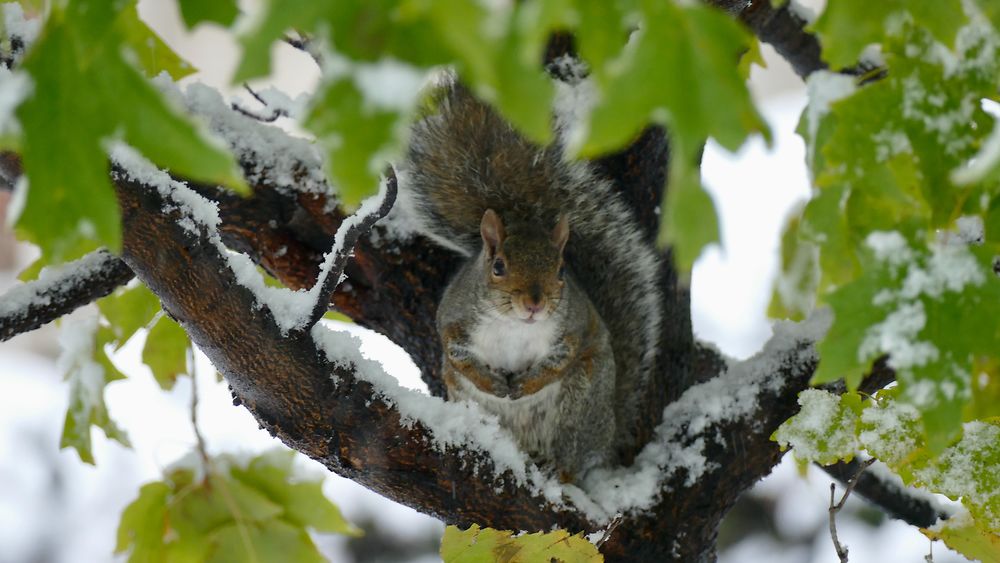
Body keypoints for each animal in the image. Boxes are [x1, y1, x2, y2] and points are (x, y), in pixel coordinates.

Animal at [398, 77, 664, 478]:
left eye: (561, 270)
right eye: (498, 267)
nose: (534, 304)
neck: (513, 326)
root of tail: (607, 437)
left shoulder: (571, 329)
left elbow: (558, 361)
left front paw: (523, 386)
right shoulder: (454, 320)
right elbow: (459, 357)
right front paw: (494, 384)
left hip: (581, 402)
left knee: (571, 453)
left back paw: (559, 468)